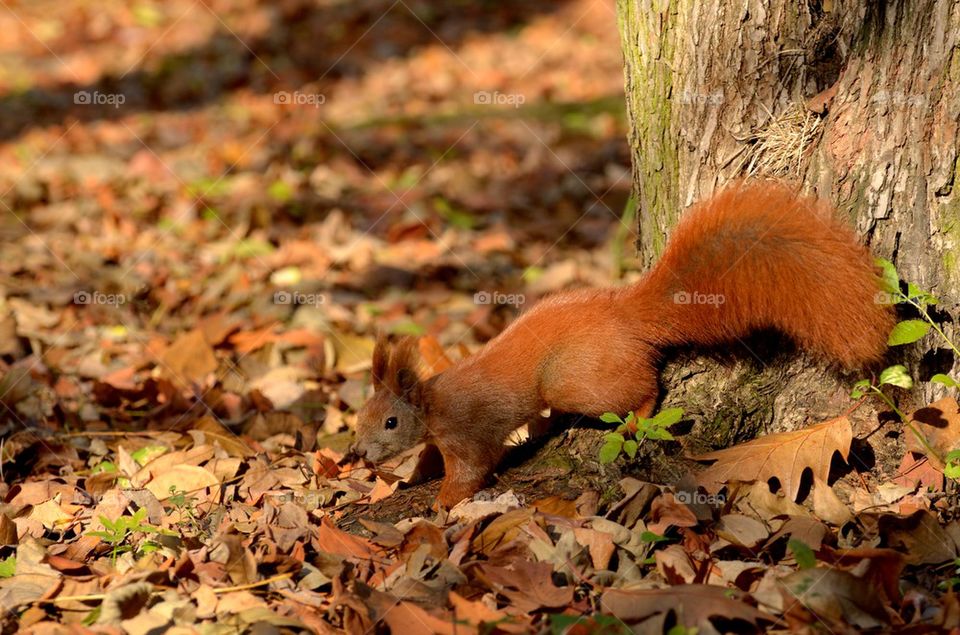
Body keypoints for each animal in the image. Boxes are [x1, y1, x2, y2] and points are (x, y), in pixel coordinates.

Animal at [348, 181, 896, 510]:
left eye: (390, 422)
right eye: (359, 416)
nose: (357, 452)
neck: (433, 405)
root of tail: (625, 316)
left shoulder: (467, 434)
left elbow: (471, 471)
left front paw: (441, 502)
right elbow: (428, 459)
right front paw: (406, 481)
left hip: (578, 380)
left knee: (643, 388)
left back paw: (635, 419)